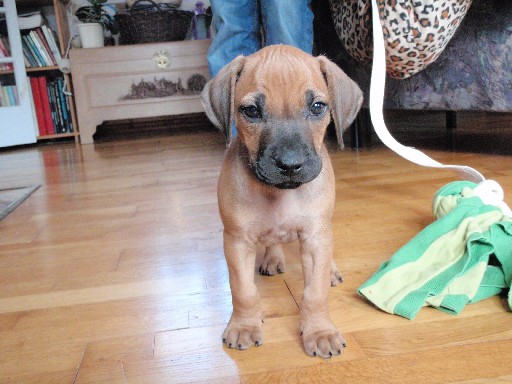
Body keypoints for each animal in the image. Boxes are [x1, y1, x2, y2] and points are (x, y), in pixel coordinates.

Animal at [201, 44, 364, 356]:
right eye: (251, 111)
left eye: (317, 107)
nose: (290, 164)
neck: (279, 194)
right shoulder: (237, 241)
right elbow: (243, 290)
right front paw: (244, 326)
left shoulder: (315, 237)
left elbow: (315, 292)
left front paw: (319, 331)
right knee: (271, 242)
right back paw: (273, 258)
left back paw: (330, 270)